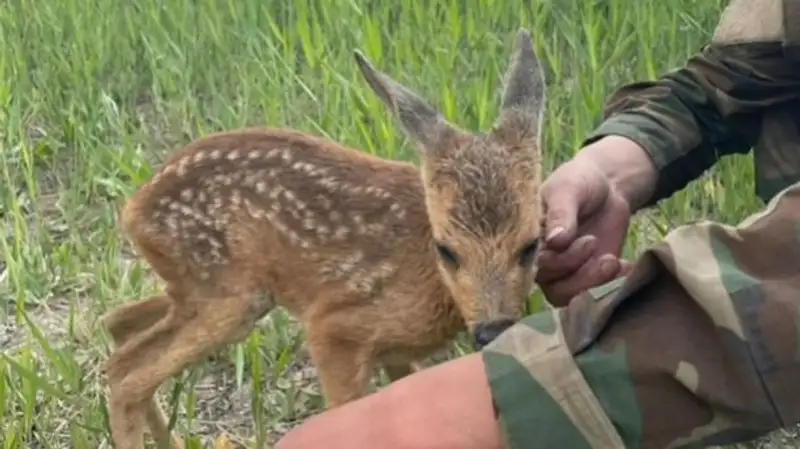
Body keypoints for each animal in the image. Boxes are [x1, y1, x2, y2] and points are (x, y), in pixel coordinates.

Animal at [103, 28, 548, 448]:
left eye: (531, 245)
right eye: (448, 251)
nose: (492, 332)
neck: (428, 277)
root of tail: (134, 209)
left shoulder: (395, 354)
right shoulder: (334, 327)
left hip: (206, 289)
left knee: (119, 327)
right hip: (227, 296)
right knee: (126, 374)